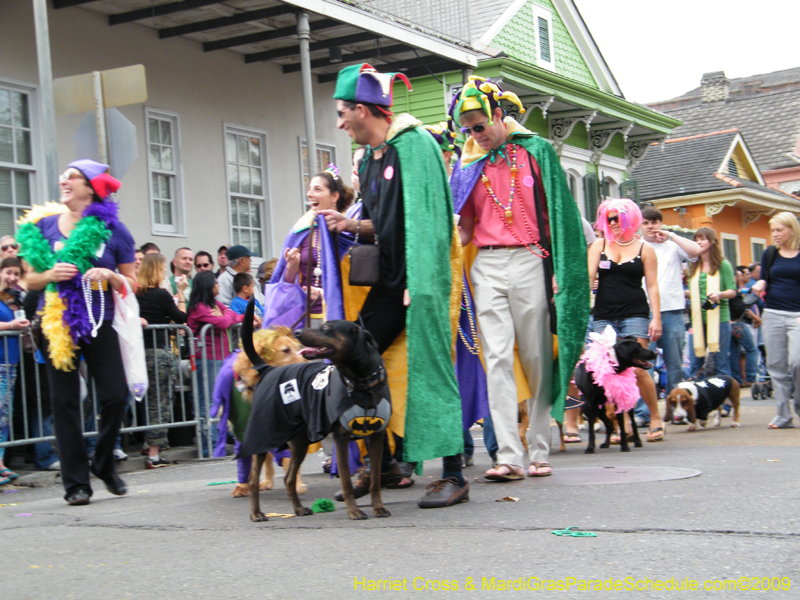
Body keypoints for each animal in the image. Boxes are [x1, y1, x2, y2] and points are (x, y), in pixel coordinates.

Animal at [239, 300, 392, 520]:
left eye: (327, 327)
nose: (298, 332)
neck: (361, 382)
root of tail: (267, 370)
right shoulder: (341, 437)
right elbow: (346, 481)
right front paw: (353, 510)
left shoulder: (377, 436)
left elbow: (376, 480)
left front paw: (378, 507)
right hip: (264, 436)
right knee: (253, 479)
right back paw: (256, 513)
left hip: (300, 442)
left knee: (288, 478)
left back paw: (298, 509)